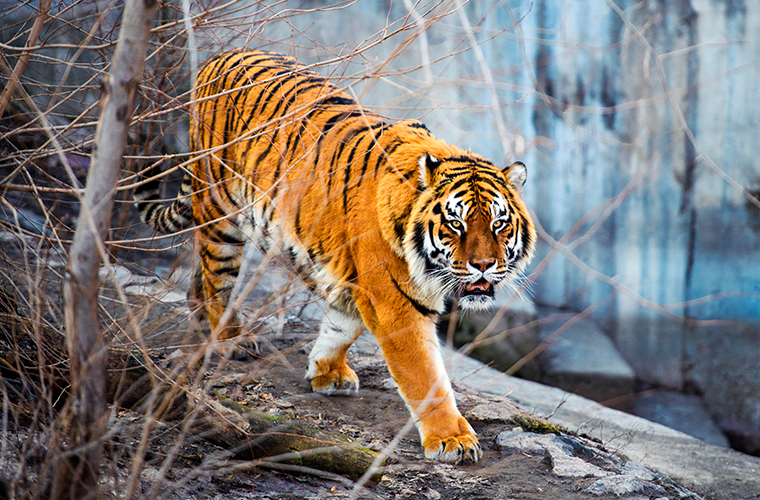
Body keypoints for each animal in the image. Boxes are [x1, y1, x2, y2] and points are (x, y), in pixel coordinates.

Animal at [138, 48, 540, 462]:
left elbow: (340, 327)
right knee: (216, 277)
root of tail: (220, 57)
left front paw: (326, 373)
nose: (484, 265)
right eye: (456, 224)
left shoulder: (357, 284)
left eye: (498, 224)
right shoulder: (396, 305)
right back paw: (229, 338)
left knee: (200, 272)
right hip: (220, 212)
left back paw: (201, 318)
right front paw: (452, 440)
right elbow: (426, 377)